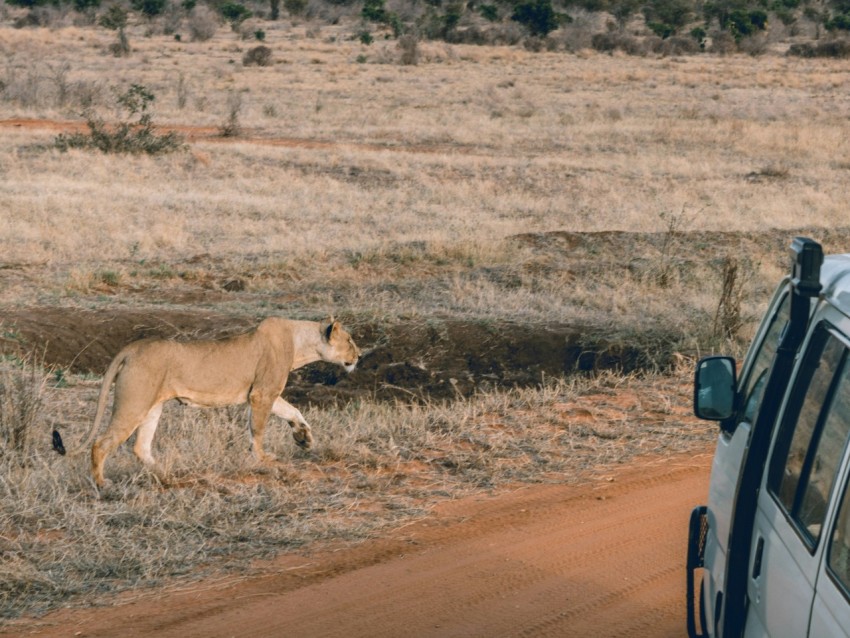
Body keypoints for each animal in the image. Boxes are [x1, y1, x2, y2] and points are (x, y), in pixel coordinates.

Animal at [66, 317, 360, 488]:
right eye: (349, 340)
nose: (359, 355)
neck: (301, 343)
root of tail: (132, 348)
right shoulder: (262, 393)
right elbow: (258, 430)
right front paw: (263, 458)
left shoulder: (268, 392)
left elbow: (293, 410)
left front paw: (304, 438)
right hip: (134, 404)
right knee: (100, 444)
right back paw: (102, 484)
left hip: (152, 407)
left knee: (141, 447)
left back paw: (169, 475)